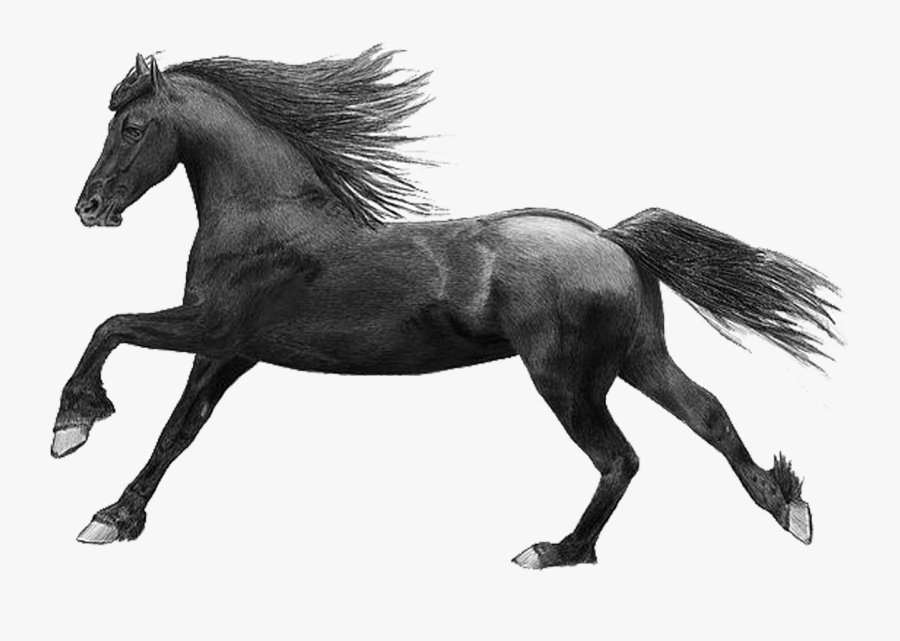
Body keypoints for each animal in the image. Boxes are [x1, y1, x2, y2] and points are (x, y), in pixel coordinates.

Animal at [54, 48, 839, 569]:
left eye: (132, 127)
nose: (88, 208)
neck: (267, 218)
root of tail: (611, 239)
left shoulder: (213, 327)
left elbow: (109, 327)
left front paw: (73, 426)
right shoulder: (226, 352)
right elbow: (175, 433)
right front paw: (114, 516)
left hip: (566, 378)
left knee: (620, 457)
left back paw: (555, 551)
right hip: (637, 359)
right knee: (707, 413)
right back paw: (787, 508)